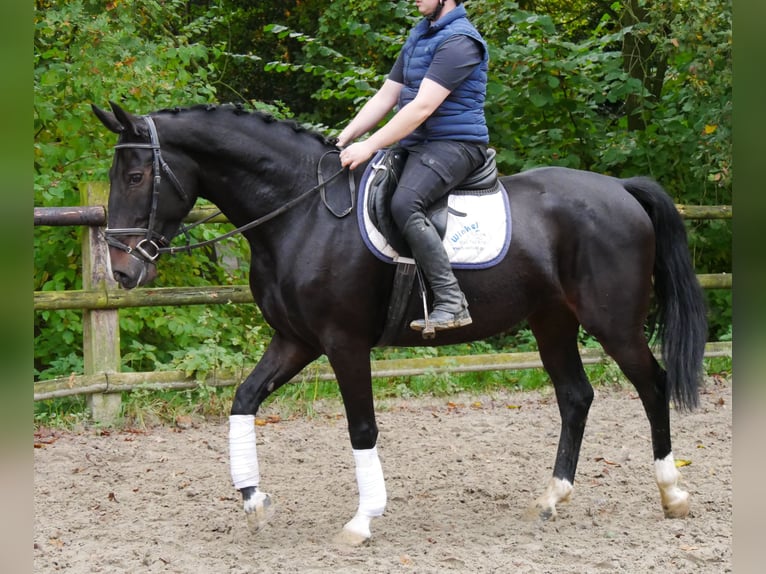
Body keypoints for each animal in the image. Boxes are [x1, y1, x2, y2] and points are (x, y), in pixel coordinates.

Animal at [90, 101, 708, 548]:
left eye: (138, 175)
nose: (121, 270)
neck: (300, 212)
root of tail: (620, 188)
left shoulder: (342, 343)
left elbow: (362, 428)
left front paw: (363, 520)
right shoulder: (295, 341)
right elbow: (243, 400)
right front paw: (254, 502)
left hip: (613, 322)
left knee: (652, 385)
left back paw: (673, 494)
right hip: (551, 320)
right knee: (576, 395)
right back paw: (553, 498)